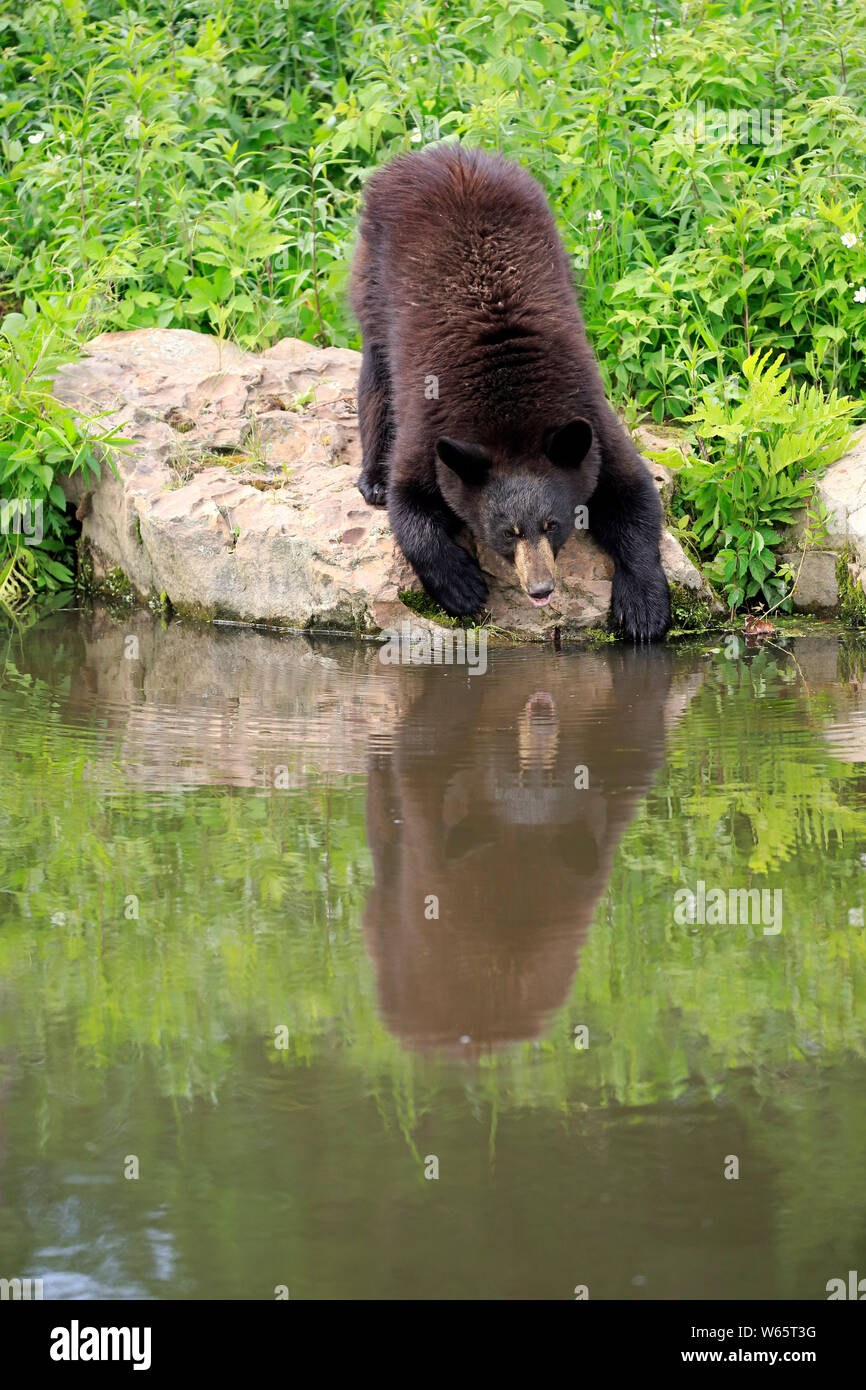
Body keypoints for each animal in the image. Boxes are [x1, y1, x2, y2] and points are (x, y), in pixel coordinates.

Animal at [350, 141, 670, 639]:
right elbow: (410, 505)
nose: (540, 590)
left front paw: (643, 606)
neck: (510, 410)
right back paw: (373, 480)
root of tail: (438, 151)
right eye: (507, 532)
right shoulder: (434, 419)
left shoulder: (586, 414)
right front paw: (461, 585)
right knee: (377, 376)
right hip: (375, 276)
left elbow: (633, 493)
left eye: (553, 524)